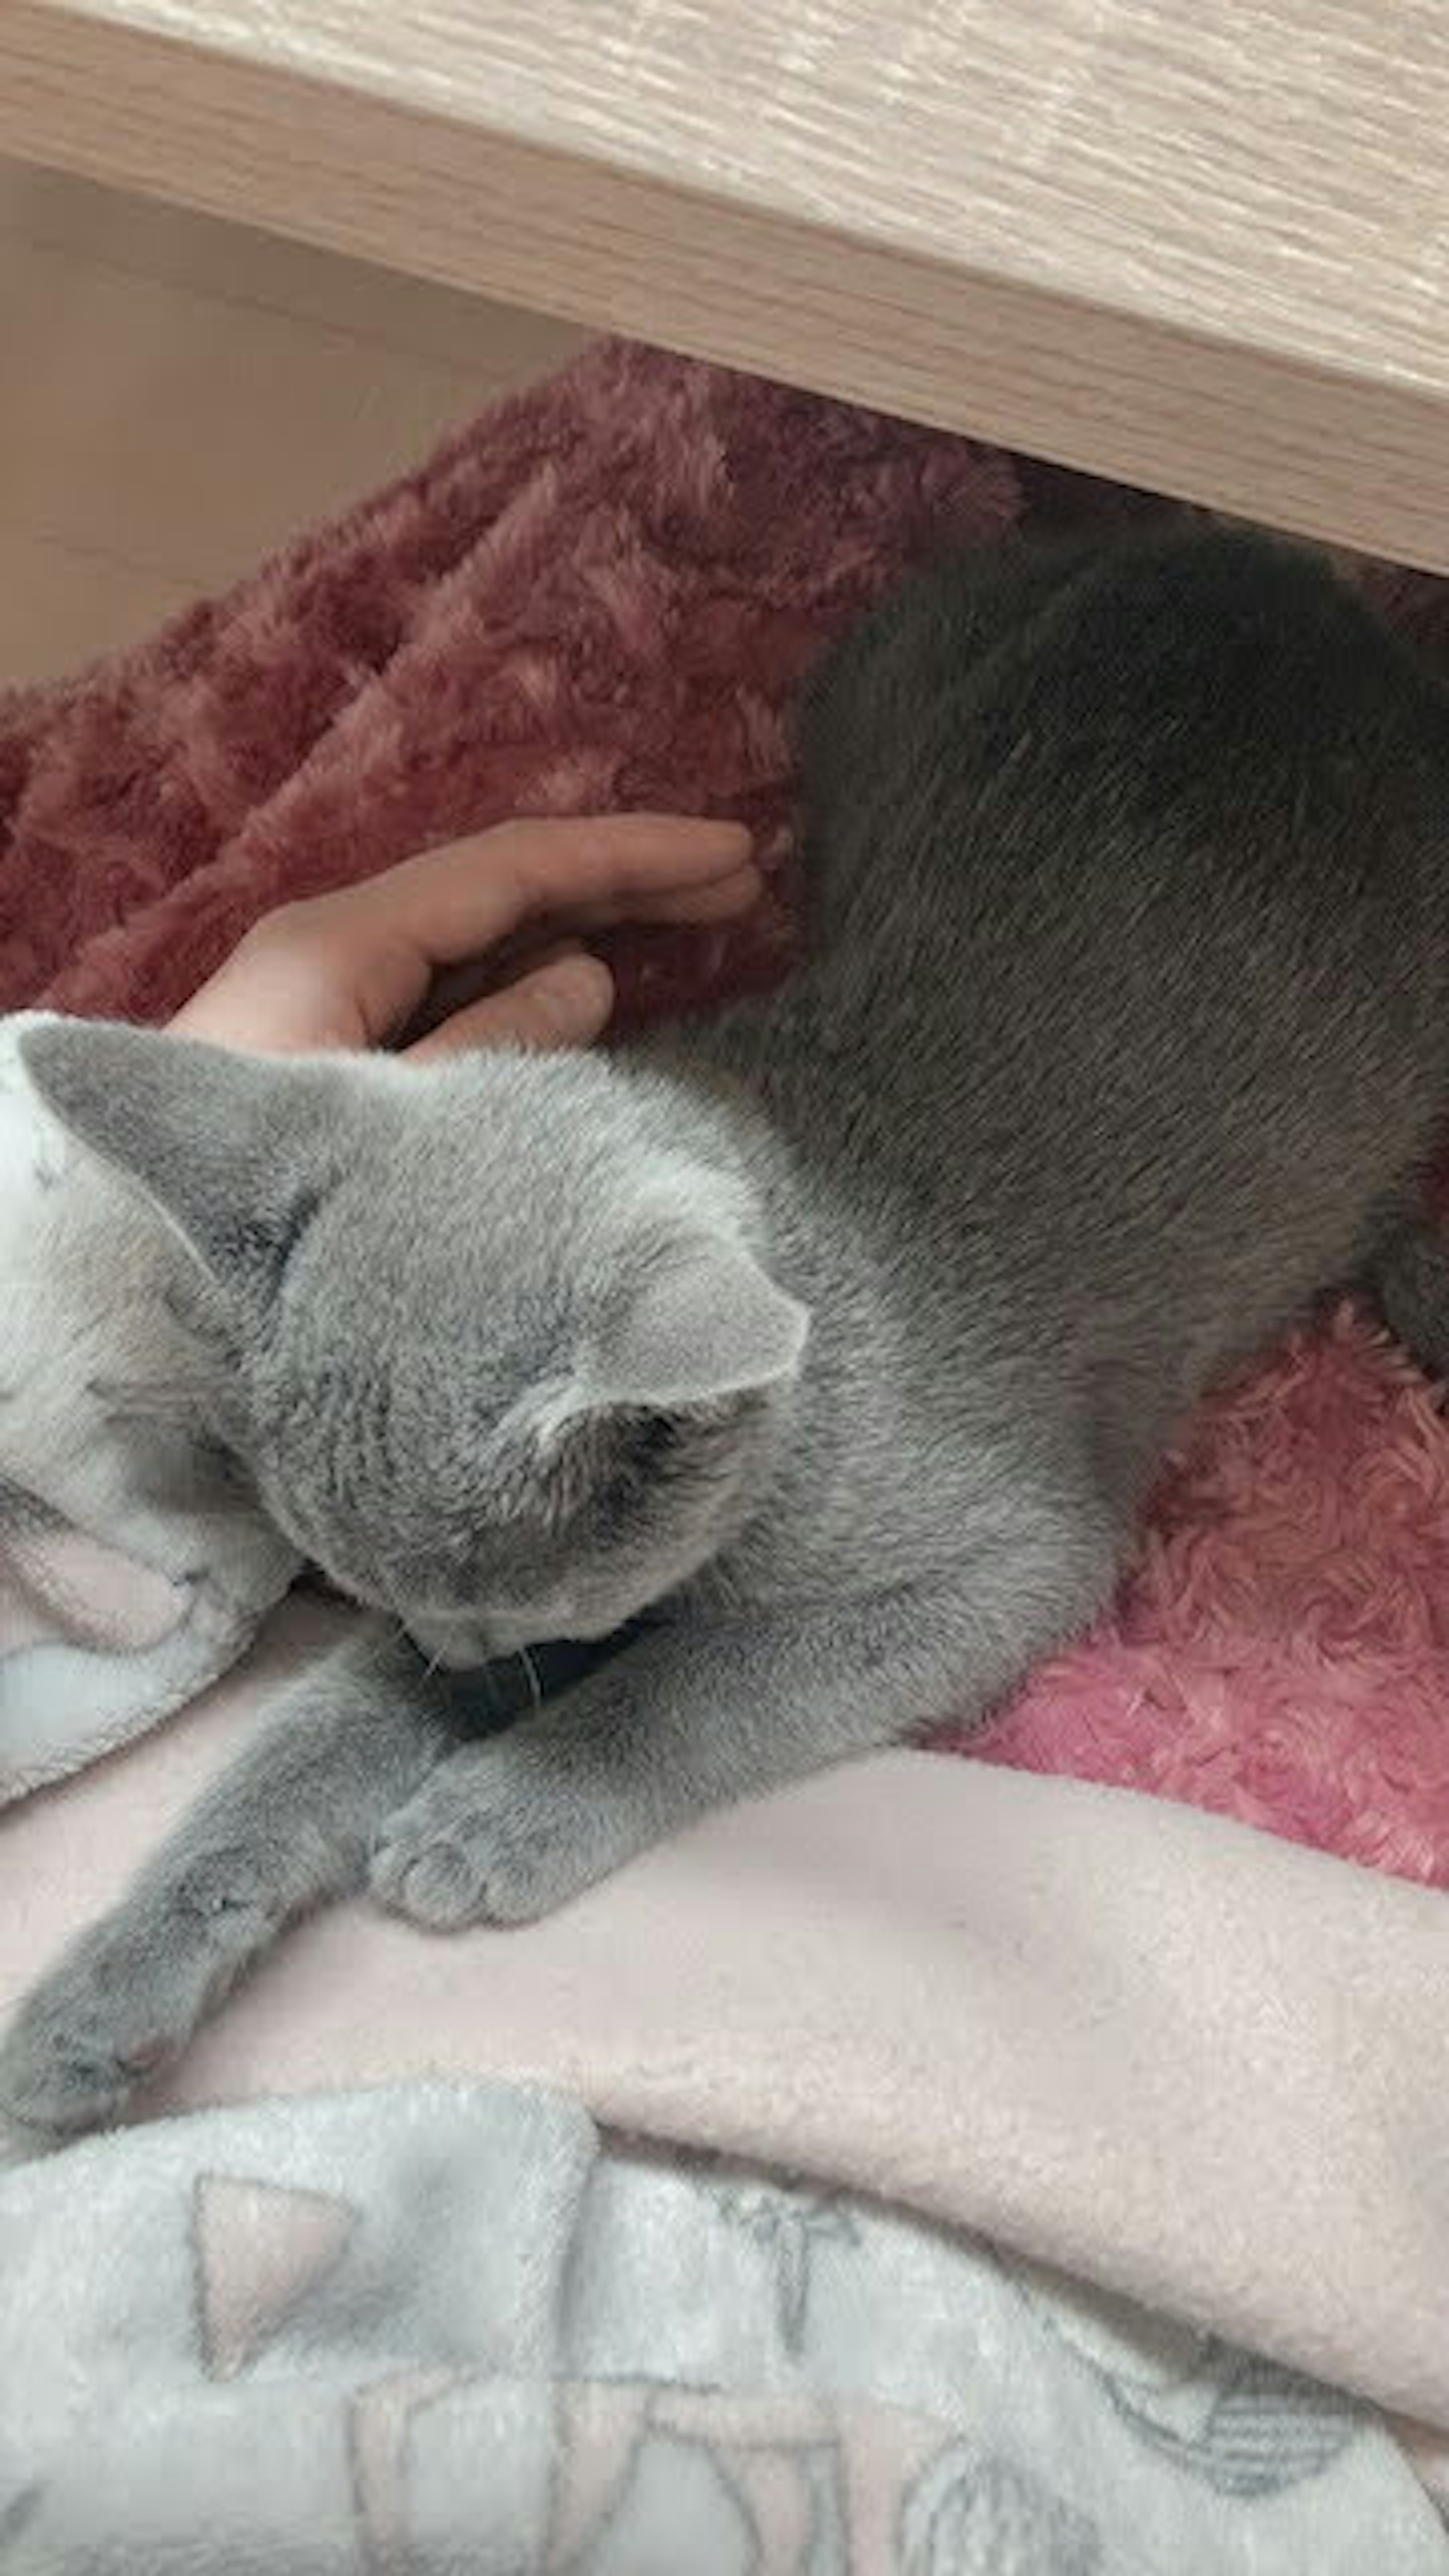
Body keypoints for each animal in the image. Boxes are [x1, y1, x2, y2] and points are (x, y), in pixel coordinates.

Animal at [3, 518, 1444, 2133]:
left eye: (508, 1608)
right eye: (364, 1584)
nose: (453, 1656)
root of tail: (1239, 551)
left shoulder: (1011, 1562)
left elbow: (704, 1681)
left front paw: (502, 1805)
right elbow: (302, 1747)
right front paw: (108, 1990)